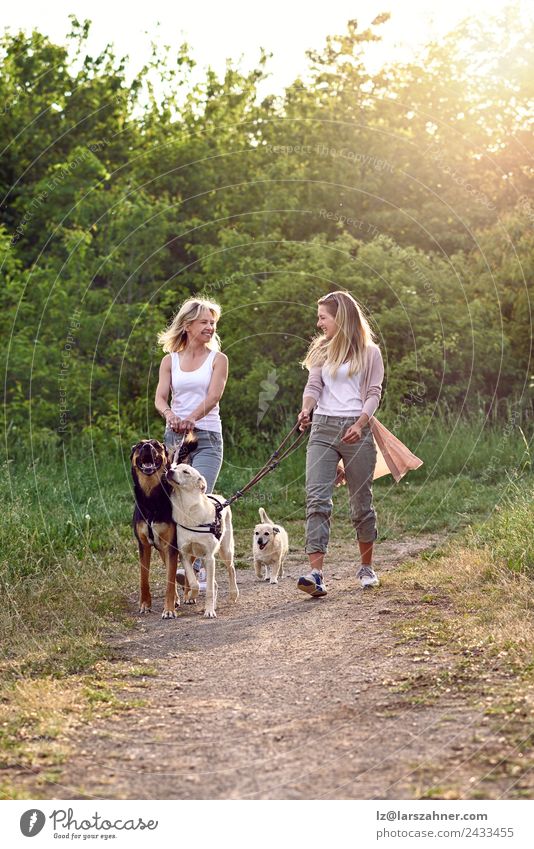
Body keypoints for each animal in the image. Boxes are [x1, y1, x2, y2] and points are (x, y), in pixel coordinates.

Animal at [131, 438, 198, 616]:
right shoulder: (144, 545)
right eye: (139, 445)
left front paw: (168, 610)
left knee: (186, 570)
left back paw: (188, 595)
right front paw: (145, 604)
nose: (147, 446)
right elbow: (144, 578)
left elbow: (170, 581)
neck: (151, 499)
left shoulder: (172, 545)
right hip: (162, 547)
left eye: (156, 445)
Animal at [166, 464, 240, 616]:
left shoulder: (210, 557)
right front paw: (191, 596)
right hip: (201, 558)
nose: (169, 471)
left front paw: (209, 611)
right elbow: (194, 583)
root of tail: (220, 498)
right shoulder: (184, 555)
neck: (186, 509)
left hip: (225, 551)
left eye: (186, 472)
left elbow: (209, 589)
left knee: (231, 569)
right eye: (174, 467)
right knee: (214, 583)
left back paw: (233, 594)